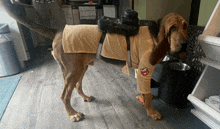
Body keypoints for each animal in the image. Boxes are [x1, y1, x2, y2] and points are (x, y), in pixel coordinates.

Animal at [51, 12, 187, 122]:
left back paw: (84, 97)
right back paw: (73, 114)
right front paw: (151, 112)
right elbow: (147, 94)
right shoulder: (145, 70)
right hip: (74, 71)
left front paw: (143, 101)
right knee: (64, 96)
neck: (155, 33)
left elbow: (143, 91)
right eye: (173, 28)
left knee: (78, 86)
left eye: (185, 26)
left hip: (81, 68)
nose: (185, 44)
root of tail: (58, 35)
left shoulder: (139, 70)